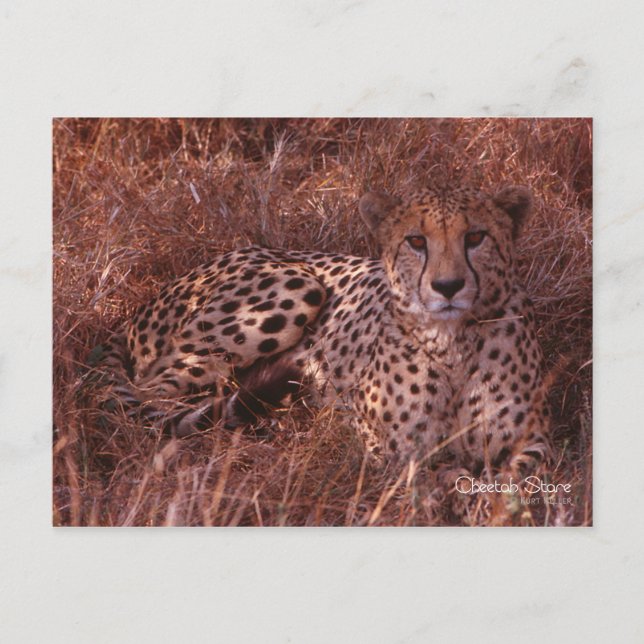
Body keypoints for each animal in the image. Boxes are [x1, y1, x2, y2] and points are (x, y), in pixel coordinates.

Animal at [98, 181, 551, 472]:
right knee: (151, 396)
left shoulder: (536, 440)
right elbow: (434, 475)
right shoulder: (386, 446)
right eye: (416, 241)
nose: (448, 286)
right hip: (297, 287)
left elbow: (518, 479)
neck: (452, 342)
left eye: (475, 237)